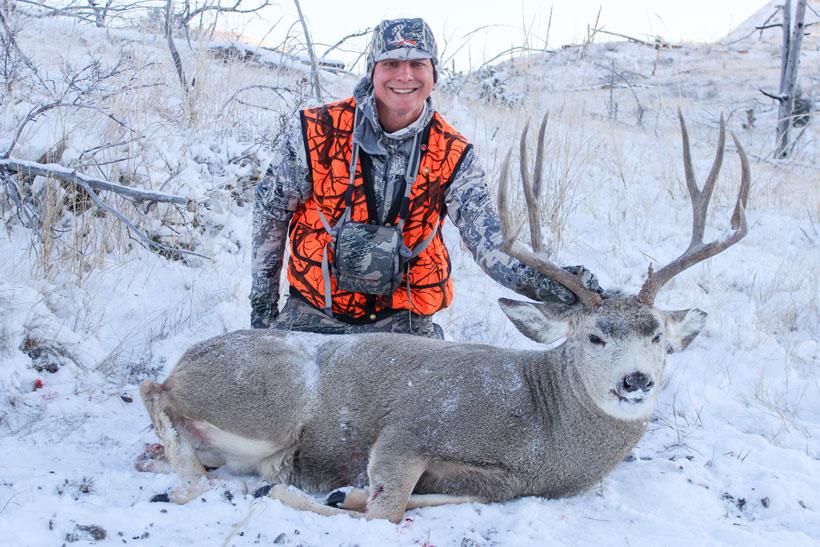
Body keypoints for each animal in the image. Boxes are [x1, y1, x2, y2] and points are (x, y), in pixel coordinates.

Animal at [137, 110, 750, 523]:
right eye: (595, 337)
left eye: (657, 336)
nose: (636, 381)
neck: (541, 429)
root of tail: (185, 361)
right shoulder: (407, 432)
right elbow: (385, 510)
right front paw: (325, 493)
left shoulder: (501, 483)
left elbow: (437, 496)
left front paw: (341, 490)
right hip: (273, 398)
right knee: (152, 389)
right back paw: (193, 482)